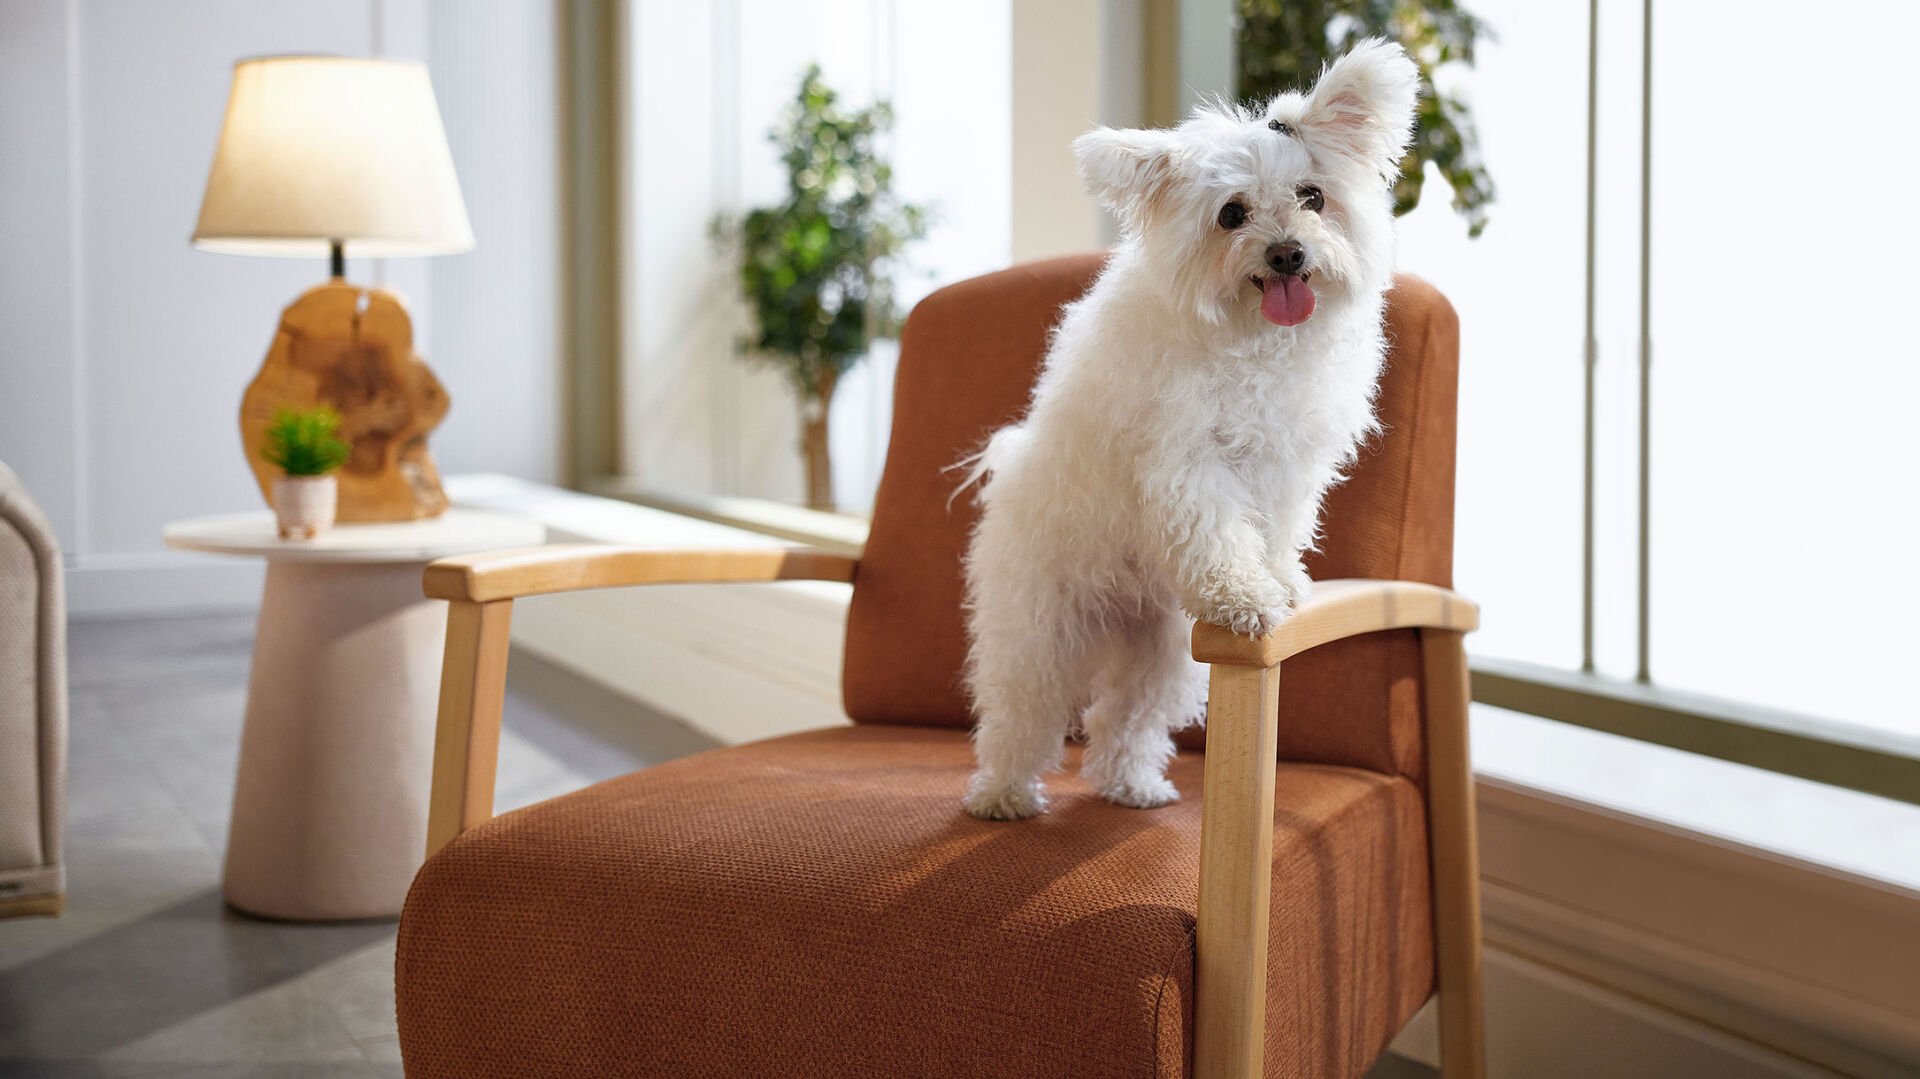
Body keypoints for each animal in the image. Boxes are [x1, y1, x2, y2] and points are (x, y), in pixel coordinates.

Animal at [959, 40, 1420, 820]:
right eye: (1231, 214)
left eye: (1313, 196)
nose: (1287, 252)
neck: (1255, 340)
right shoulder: (1189, 465)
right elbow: (1218, 537)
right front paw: (1244, 599)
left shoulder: (1289, 469)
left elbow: (1277, 532)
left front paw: (1281, 582)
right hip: (1042, 627)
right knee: (1021, 715)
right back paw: (1002, 796)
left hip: (1162, 649)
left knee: (1126, 718)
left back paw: (1131, 786)